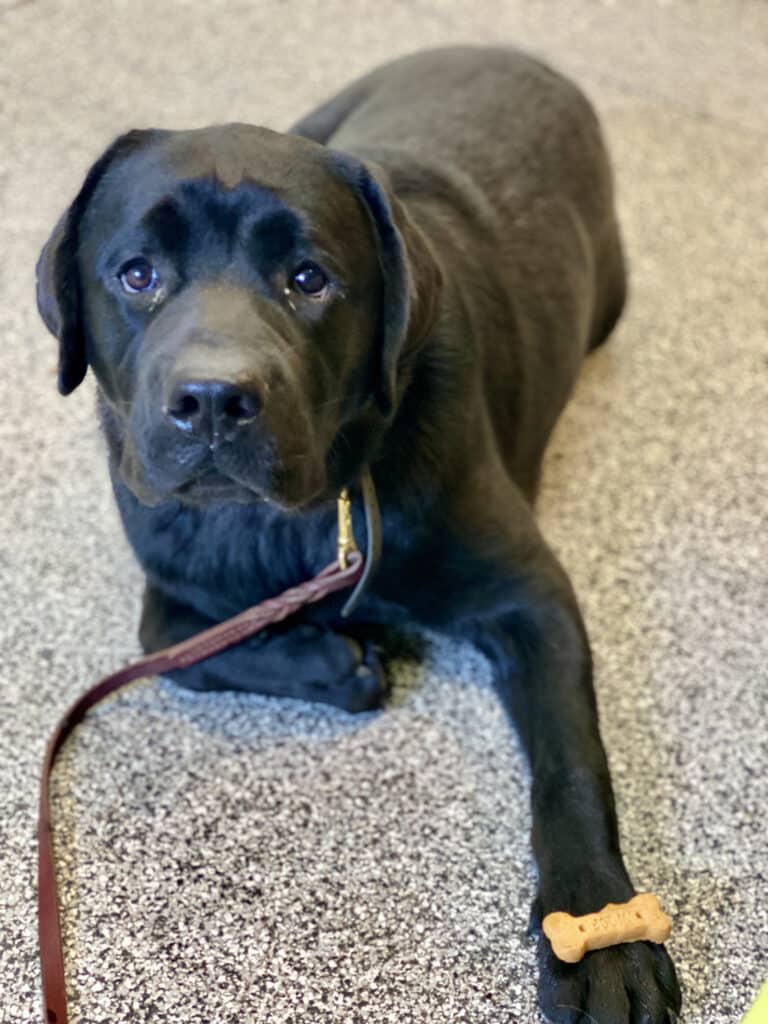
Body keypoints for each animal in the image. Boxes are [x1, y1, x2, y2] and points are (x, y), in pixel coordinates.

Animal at [39, 44, 684, 1019]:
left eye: (309, 279)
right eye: (137, 274)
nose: (215, 399)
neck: (299, 517)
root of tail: (513, 51)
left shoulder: (529, 591)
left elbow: (572, 760)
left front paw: (601, 932)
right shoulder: (174, 569)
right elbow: (172, 643)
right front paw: (330, 660)